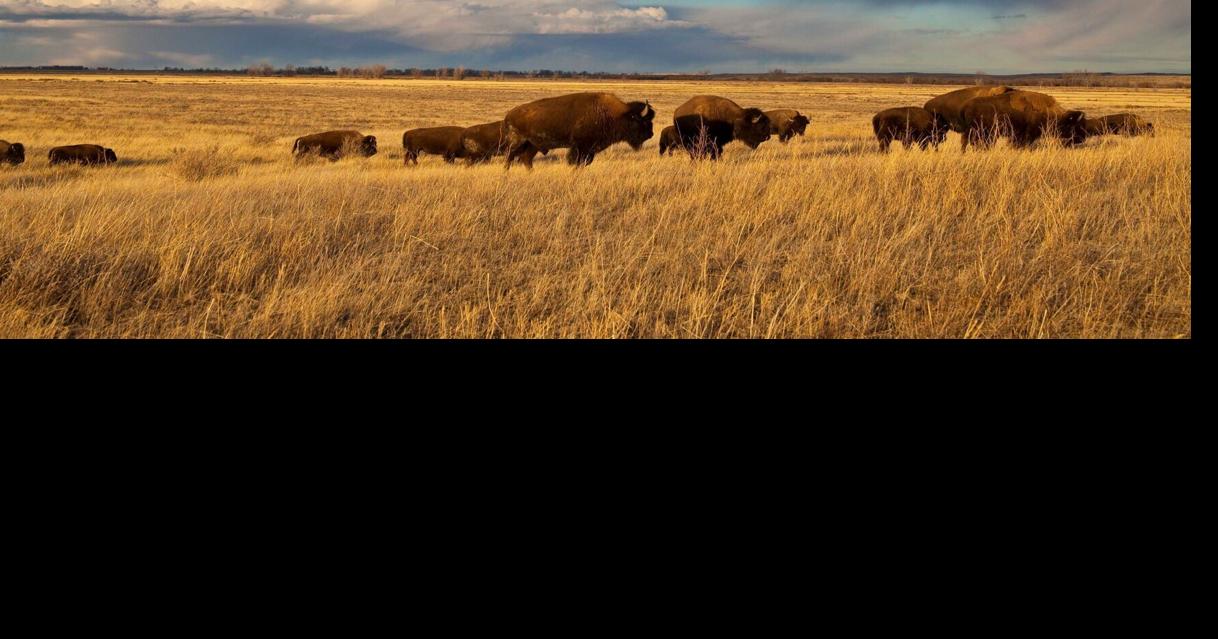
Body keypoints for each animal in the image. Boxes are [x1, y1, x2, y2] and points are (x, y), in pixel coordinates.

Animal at [504, 92, 655, 168]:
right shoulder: (580, 147)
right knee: (510, 157)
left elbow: (585, 162)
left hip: (532, 145)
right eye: (642, 121)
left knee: (526, 160)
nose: (651, 134)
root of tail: (509, 114)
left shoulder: (589, 149)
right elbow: (576, 161)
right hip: (518, 143)